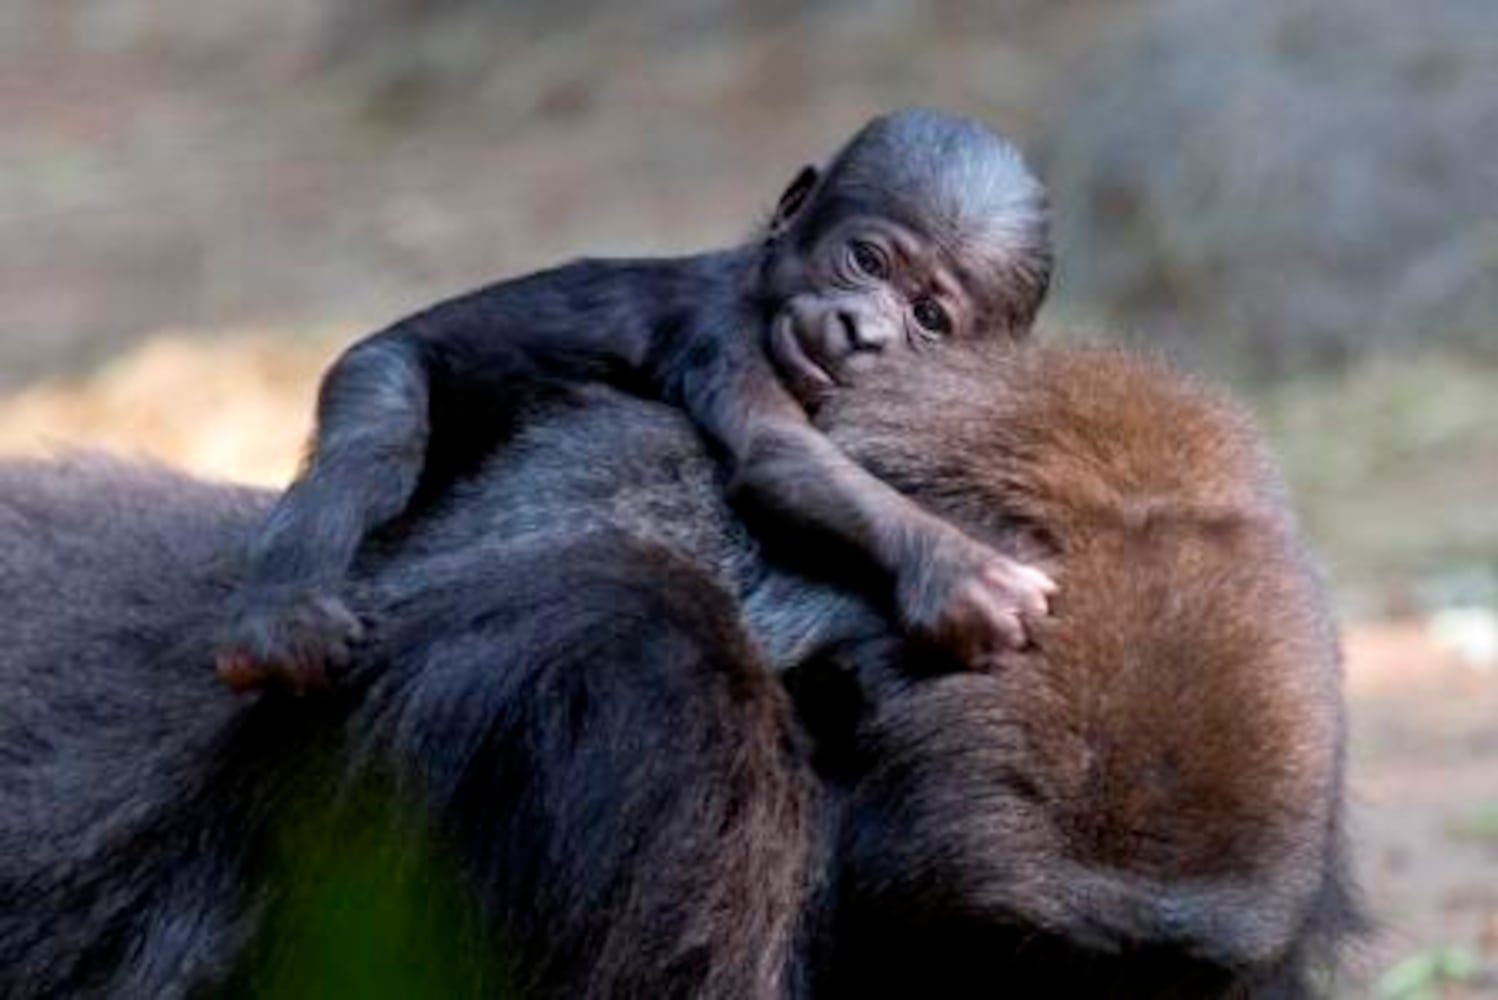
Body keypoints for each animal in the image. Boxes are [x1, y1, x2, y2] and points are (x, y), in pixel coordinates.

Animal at [218, 107, 1054, 688]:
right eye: (867, 260)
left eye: (929, 317)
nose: (861, 329)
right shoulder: (724, 331)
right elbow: (779, 454)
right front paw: (957, 570)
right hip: (376, 362)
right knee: (376, 439)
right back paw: (285, 611)